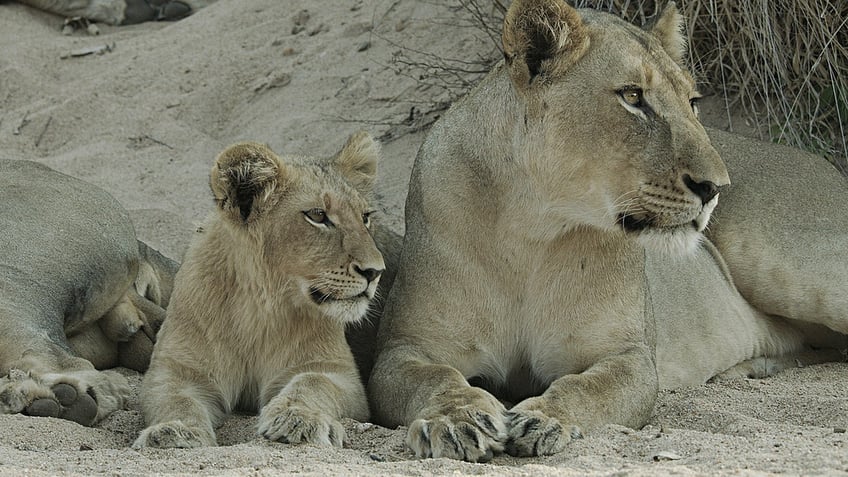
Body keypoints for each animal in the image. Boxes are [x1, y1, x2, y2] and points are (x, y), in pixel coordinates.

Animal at [370, 0, 848, 462]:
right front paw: (457, 419)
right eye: (633, 96)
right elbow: (434, 379)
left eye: (692, 102)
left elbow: (585, 387)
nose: (715, 187)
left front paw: (545, 418)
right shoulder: (404, 349)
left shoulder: (628, 355)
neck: (533, 227)